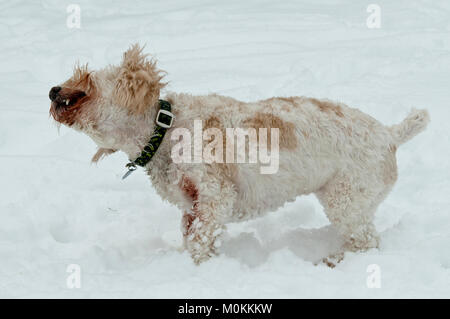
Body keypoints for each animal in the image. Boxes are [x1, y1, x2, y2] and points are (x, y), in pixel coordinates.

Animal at [48, 43, 428, 266]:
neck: (165, 128)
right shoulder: (191, 205)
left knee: (366, 241)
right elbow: (191, 233)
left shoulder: (214, 194)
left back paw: (335, 261)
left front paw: (198, 268)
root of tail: (390, 134)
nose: (52, 90)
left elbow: (202, 237)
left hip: (347, 198)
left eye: (86, 81)